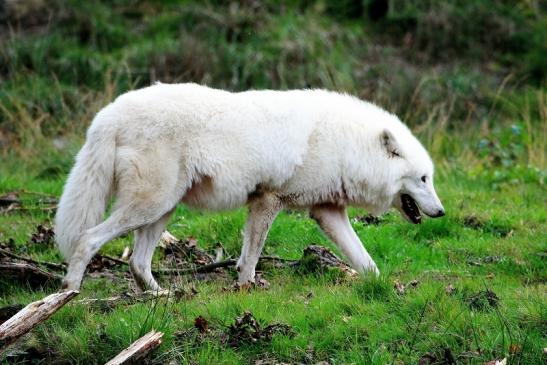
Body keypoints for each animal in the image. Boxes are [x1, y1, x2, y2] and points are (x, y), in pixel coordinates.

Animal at [54, 82, 446, 290]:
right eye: (423, 180)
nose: (441, 212)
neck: (348, 147)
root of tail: (108, 114)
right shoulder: (268, 200)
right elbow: (251, 257)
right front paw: (246, 289)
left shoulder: (328, 212)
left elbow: (366, 261)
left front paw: (384, 288)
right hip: (149, 205)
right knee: (87, 239)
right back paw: (69, 291)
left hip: (163, 209)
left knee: (137, 262)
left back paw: (160, 296)